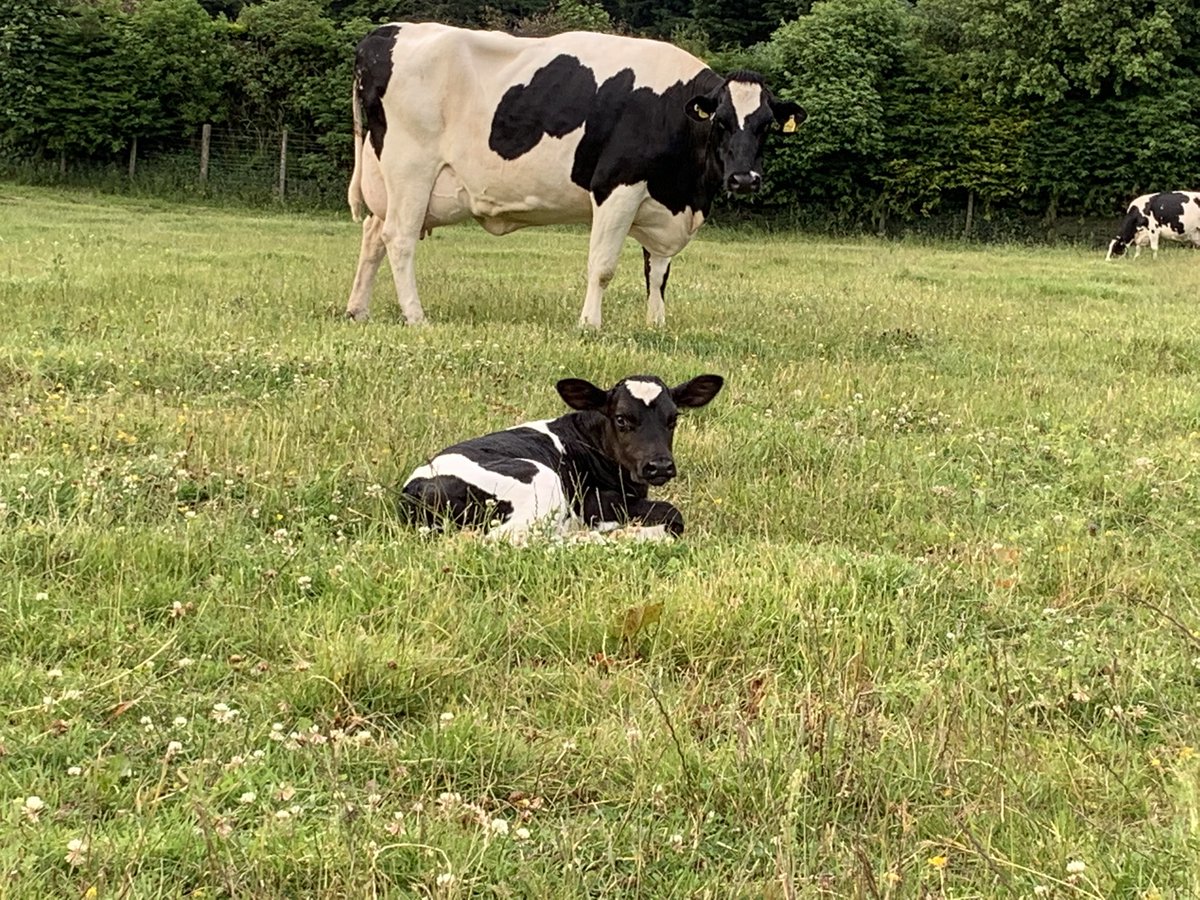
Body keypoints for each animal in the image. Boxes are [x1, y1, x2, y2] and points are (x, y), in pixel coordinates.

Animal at [345, 23, 805, 328]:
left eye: (765, 126)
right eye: (721, 123)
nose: (744, 179)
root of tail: (386, 32)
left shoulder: (662, 204)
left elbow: (658, 272)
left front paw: (656, 325)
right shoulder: (617, 187)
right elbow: (602, 266)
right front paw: (589, 326)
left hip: (385, 178)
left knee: (372, 237)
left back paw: (358, 310)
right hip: (410, 169)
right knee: (399, 240)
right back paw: (416, 317)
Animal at [402, 373, 724, 542]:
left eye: (673, 418)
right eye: (621, 419)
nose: (659, 466)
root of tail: (415, 488)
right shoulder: (593, 501)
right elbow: (673, 513)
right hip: (541, 482)